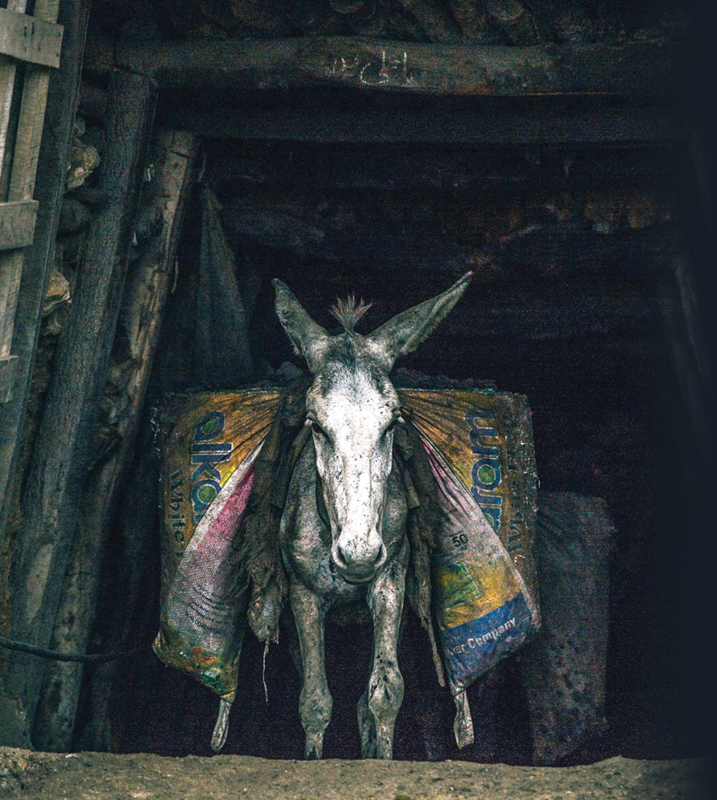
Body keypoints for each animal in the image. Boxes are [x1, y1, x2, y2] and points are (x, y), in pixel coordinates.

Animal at [273, 272, 472, 760]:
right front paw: (312, 759)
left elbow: (384, 691)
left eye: (391, 424)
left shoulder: (390, 580)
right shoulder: (303, 594)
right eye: (316, 426)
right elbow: (314, 700)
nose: (359, 554)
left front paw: (380, 759)